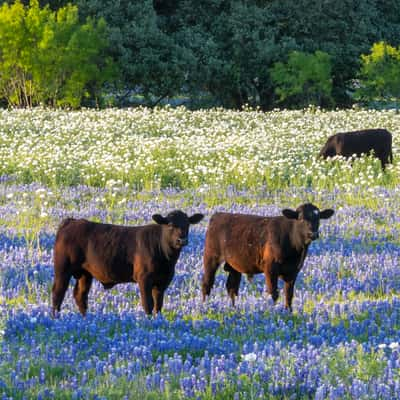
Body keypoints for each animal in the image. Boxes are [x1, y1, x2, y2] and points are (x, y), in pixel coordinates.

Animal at [51, 211, 203, 318]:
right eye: (170, 225)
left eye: (188, 224)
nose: (182, 240)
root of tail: (71, 221)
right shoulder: (144, 279)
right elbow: (148, 304)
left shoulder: (162, 282)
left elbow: (158, 306)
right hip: (62, 270)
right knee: (58, 293)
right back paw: (55, 318)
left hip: (85, 274)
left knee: (80, 296)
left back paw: (85, 319)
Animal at [202, 203, 332, 312]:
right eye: (301, 218)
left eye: (318, 218)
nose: (313, 234)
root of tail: (218, 215)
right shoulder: (270, 269)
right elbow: (273, 293)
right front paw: (273, 311)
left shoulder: (293, 271)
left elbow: (289, 294)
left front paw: (288, 312)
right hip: (211, 258)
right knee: (207, 284)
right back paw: (204, 306)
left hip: (234, 265)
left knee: (232, 288)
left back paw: (233, 309)